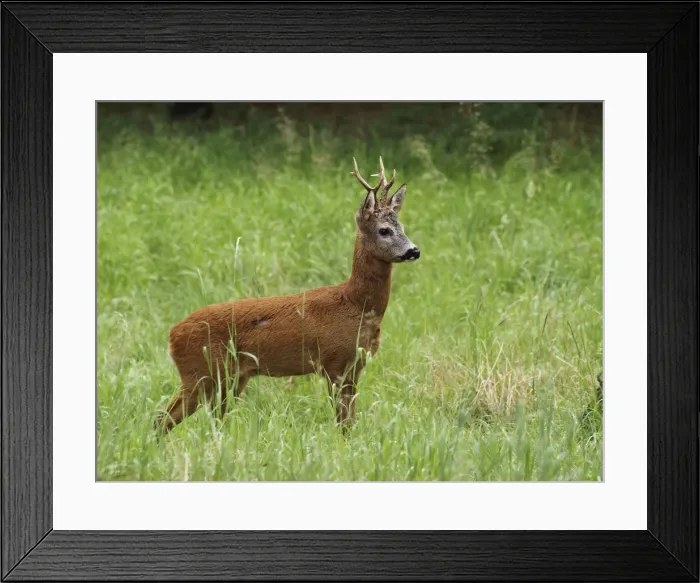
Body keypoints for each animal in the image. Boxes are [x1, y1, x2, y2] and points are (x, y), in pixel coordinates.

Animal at [155, 157, 420, 434]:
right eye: (384, 230)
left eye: (402, 226)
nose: (414, 251)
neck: (355, 305)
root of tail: (172, 335)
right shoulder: (333, 361)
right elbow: (342, 422)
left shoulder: (356, 366)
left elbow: (350, 422)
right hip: (201, 371)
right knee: (163, 417)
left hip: (229, 378)